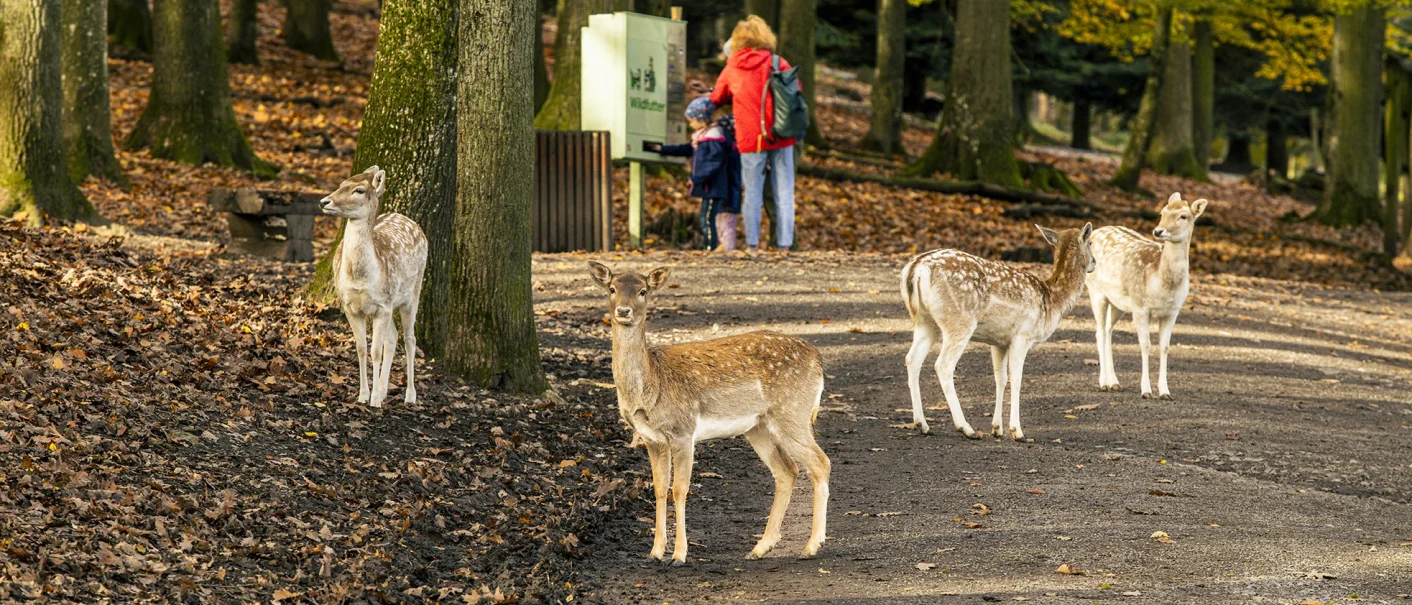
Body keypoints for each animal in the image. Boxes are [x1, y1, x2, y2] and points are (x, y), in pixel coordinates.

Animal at [319, 165, 428, 408]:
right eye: (342, 184)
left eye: (359, 190)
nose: (324, 201)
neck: (361, 278)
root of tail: (410, 221)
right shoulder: (350, 307)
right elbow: (361, 349)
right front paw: (363, 395)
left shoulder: (383, 306)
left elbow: (375, 351)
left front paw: (375, 400)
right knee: (393, 337)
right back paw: (385, 389)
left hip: (413, 292)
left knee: (410, 339)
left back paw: (410, 395)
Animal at [587, 261, 831, 565]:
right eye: (612, 288)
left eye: (643, 291)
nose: (623, 311)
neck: (651, 384)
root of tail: (818, 360)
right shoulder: (652, 438)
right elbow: (659, 489)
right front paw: (655, 552)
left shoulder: (683, 430)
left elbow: (679, 489)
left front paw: (679, 554)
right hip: (759, 426)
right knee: (787, 470)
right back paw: (760, 547)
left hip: (792, 412)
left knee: (820, 463)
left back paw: (812, 545)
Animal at [900, 223, 1095, 441]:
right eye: (1091, 242)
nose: (1094, 263)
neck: (1052, 300)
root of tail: (916, 268)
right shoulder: (1023, 335)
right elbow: (1017, 379)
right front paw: (1017, 431)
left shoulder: (999, 341)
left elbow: (1000, 379)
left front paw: (997, 428)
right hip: (959, 321)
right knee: (943, 365)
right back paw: (966, 428)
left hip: (926, 322)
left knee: (912, 359)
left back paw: (922, 424)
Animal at [1086, 192, 1208, 399]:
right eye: (1162, 212)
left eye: (1183, 216)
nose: (1158, 231)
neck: (1161, 283)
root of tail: (1094, 233)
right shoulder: (1140, 307)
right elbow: (1145, 345)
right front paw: (1146, 391)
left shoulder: (1172, 311)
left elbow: (1165, 347)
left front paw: (1165, 392)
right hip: (1096, 291)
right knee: (1099, 331)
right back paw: (1103, 383)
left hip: (1118, 302)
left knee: (1108, 330)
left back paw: (1114, 382)